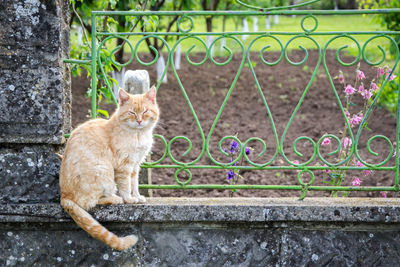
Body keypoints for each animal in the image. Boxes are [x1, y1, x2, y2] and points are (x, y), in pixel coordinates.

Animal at [59, 86, 159, 251]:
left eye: (145, 111)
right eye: (132, 112)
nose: (139, 121)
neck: (138, 134)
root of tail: (64, 196)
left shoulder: (135, 165)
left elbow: (135, 184)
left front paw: (137, 197)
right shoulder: (124, 165)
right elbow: (126, 186)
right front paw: (129, 199)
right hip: (104, 172)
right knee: (89, 202)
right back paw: (115, 198)